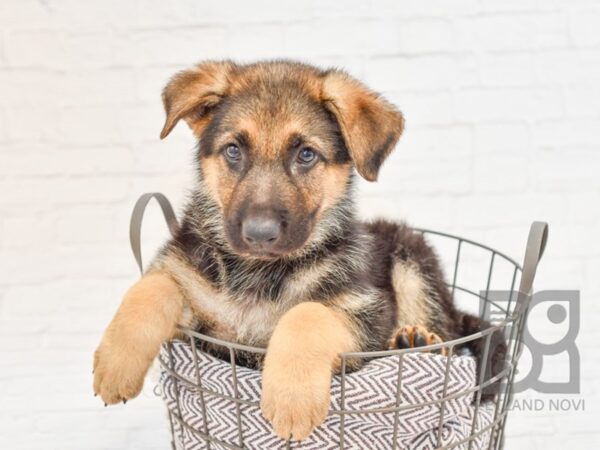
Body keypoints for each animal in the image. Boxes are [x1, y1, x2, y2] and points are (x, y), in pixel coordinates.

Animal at [92, 59, 502, 440]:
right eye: (233, 151)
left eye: (306, 155)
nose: (259, 234)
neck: (258, 273)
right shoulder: (195, 313)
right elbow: (153, 286)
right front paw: (116, 364)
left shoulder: (366, 314)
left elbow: (307, 313)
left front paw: (292, 399)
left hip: (412, 260)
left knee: (447, 334)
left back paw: (416, 340)